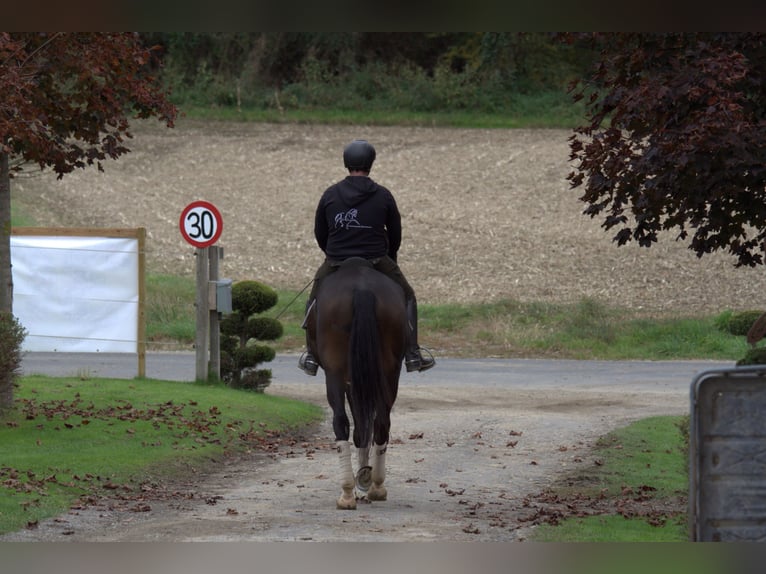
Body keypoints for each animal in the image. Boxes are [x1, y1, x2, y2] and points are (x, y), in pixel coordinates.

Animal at [304, 258, 408, 510]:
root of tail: (362, 289)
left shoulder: (349, 381)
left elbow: (360, 427)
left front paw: (362, 476)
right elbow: (363, 427)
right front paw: (365, 475)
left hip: (336, 373)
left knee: (342, 421)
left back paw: (351, 492)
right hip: (389, 372)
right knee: (380, 423)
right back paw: (372, 487)